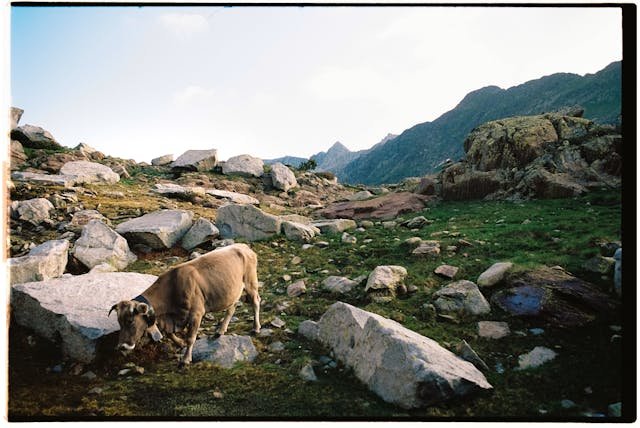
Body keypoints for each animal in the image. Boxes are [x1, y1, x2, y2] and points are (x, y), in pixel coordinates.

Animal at [109, 242, 262, 366]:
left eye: (130, 321)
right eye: (119, 322)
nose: (121, 346)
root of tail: (244, 246)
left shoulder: (196, 313)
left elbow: (190, 338)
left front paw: (185, 359)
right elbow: (168, 333)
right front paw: (180, 343)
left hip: (251, 282)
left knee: (255, 301)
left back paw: (256, 328)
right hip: (233, 290)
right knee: (232, 307)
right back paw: (220, 330)